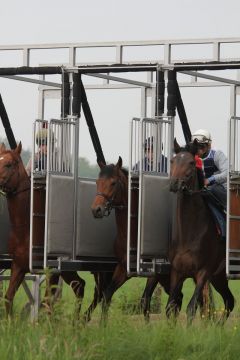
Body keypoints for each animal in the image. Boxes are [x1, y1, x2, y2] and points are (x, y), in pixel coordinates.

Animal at [0, 142, 110, 320]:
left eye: (9, 164)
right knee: (84, 287)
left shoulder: (51, 269)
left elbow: (47, 301)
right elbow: (8, 297)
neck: (27, 226)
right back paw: (79, 321)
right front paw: (11, 323)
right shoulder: (18, 265)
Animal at [91, 156, 183, 320]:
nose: (97, 210)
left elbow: (145, 300)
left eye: (113, 182)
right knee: (179, 299)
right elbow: (107, 295)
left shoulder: (154, 272)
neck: (131, 233)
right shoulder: (123, 268)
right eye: (97, 181)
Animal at [167, 139, 234, 322]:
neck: (190, 233)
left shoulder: (203, 273)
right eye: (173, 161)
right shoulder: (177, 272)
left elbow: (191, 307)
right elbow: (170, 307)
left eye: (191, 162)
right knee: (230, 300)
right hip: (219, 277)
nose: (174, 184)